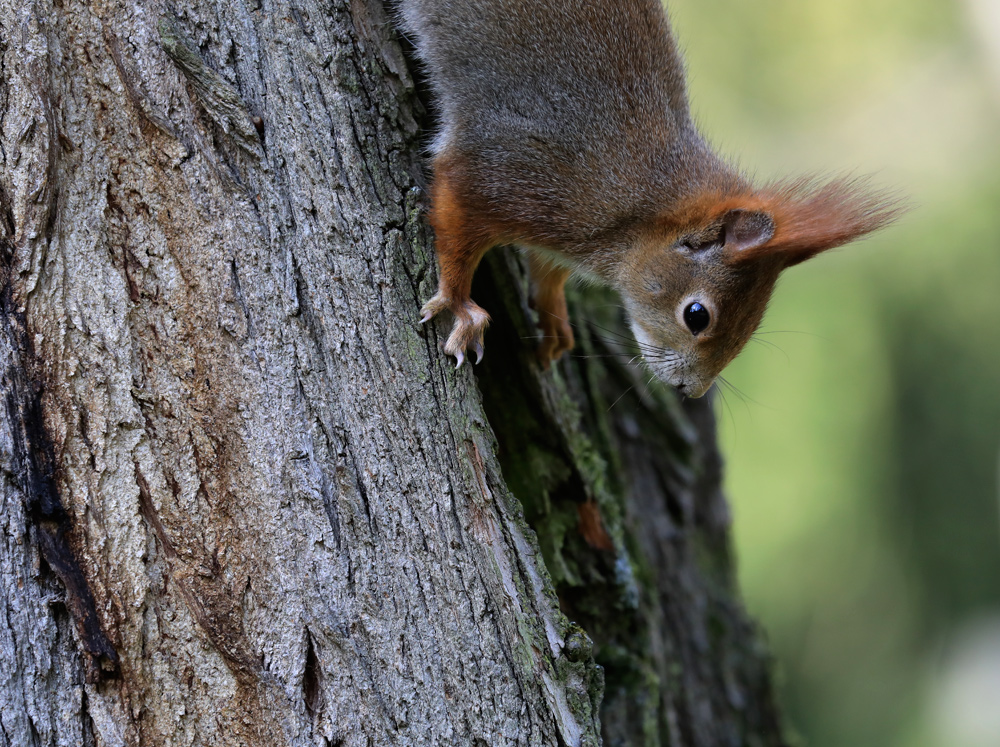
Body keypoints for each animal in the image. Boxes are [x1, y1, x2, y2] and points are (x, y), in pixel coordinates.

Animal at [398, 0, 900, 398]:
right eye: (696, 316)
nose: (690, 392)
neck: (641, 211)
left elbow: (547, 269)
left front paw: (554, 317)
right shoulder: (511, 173)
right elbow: (457, 220)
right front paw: (461, 305)